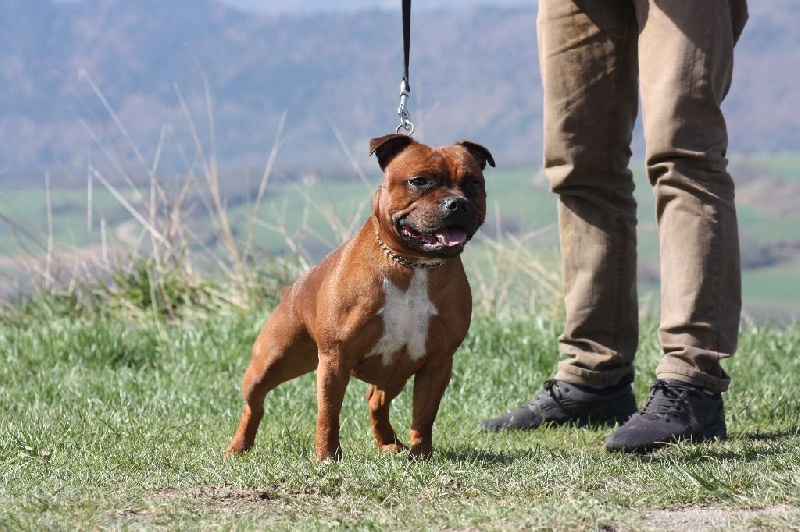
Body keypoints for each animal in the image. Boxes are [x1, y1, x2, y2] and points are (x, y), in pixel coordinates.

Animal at [225, 134, 494, 462]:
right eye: (419, 181)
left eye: (474, 183)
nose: (457, 204)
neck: (412, 265)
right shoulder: (335, 358)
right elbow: (328, 413)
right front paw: (327, 456)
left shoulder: (438, 362)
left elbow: (423, 415)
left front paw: (421, 455)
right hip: (269, 362)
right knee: (254, 405)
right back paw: (238, 447)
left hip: (396, 372)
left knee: (375, 399)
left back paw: (389, 443)